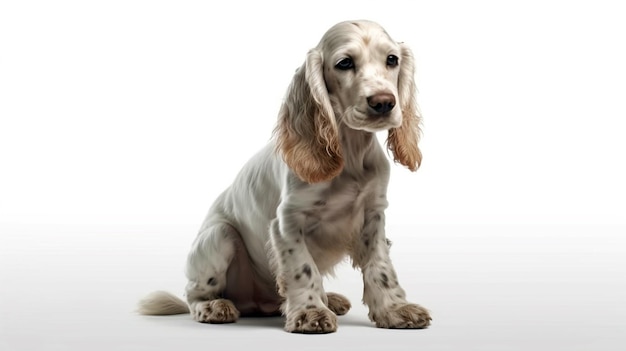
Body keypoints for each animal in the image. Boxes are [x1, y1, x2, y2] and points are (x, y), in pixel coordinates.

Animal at [136, 18, 428, 332]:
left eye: (392, 60)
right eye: (345, 63)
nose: (384, 102)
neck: (349, 155)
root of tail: (255, 304)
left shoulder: (373, 216)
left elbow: (380, 267)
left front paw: (395, 310)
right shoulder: (287, 222)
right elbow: (303, 268)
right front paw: (311, 313)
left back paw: (331, 299)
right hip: (219, 236)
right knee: (193, 293)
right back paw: (213, 306)